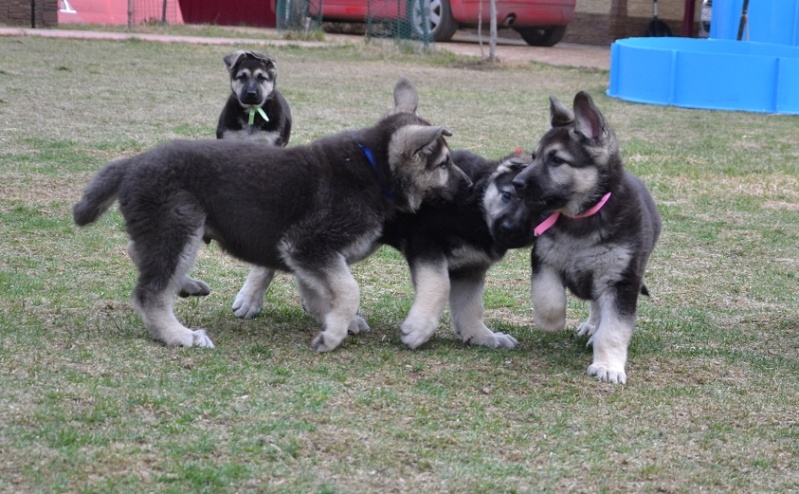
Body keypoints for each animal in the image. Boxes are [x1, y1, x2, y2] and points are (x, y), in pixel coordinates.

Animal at [512, 92, 664, 386]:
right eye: (534, 157)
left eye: (556, 160)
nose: (516, 183)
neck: (581, 219)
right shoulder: (544, 259)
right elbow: (549, 299)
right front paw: (551, 322)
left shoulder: (620, 280)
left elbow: (614, 329)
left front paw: (608, 366)